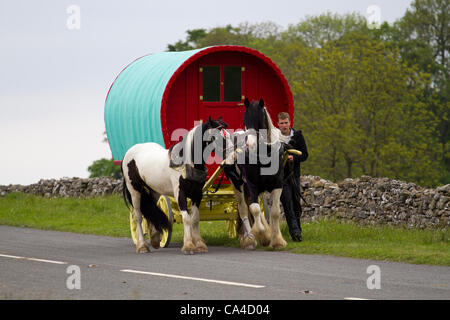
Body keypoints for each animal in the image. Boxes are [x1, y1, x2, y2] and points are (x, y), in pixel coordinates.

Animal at [121, 116, 227, 254]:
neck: (187, 163)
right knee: (138, 216)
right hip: (134, 190)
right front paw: (188, 245)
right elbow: (186, 218)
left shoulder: (197, 194)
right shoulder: (180, 193)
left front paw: (200, 244)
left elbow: (195, 218)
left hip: (155, 191)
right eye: (216, 136)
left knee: (151, 212)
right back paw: (142, 246)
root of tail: (128, 153)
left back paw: (155, 239)